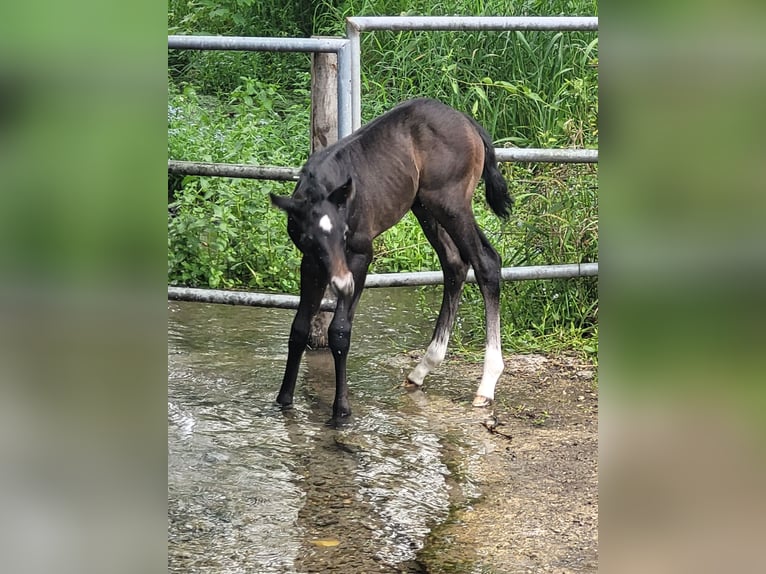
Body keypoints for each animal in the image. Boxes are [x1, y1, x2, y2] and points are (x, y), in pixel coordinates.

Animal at [270, 98, 512, 419]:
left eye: (344, 234)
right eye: (310, 239)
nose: (342, 284)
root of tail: (469, 122)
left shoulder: (360, 256)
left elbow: (339, 331)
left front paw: (341, 410)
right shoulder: (310, 263)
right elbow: (298, 328)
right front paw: (284, 401)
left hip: (452, 205)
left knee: (486, 262)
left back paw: (486, 385)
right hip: (425, 207)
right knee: (455, 264)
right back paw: (423, 369)